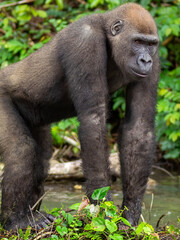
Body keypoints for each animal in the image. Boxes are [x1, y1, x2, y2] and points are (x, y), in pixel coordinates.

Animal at [0, 2, 160, 230]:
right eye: (137, 42)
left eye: (150, 44)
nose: (146, 60)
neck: (107, 33)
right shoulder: (85, 41)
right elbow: (93, 119)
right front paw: (103, 206)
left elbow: (140, 127)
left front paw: (130, 212)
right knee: (20, 150)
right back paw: (16, 221)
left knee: (41, 160)